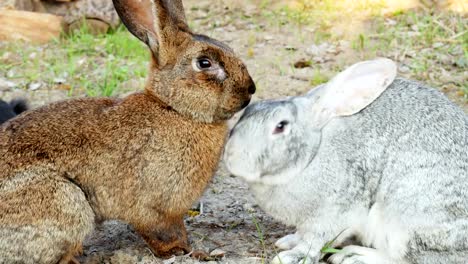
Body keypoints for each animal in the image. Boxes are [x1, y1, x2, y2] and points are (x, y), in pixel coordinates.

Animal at [0, 0, 256, 262]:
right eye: (204, 63)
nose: (250, 89)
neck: (174, 108)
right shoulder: (155, 208)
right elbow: (164, 233)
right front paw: (185, 251)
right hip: (64, 200)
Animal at [224, 58, 468, 262]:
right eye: (247, 112)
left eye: (281, 126)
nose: (232, 158)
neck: (314, 152)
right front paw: (288, 241)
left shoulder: (332, 212)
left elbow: (315, 241)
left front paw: (291, 256)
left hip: (408, 220)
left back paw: (354, 256)